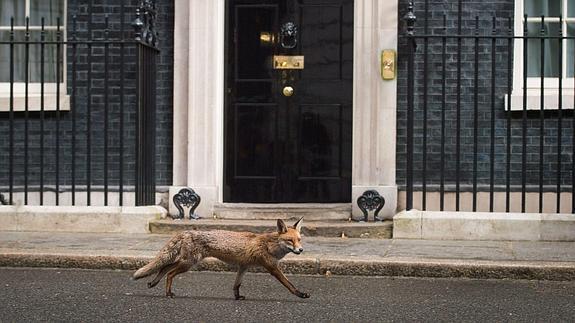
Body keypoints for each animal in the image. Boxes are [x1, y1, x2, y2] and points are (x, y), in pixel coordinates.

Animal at [132, 218, 310, 302]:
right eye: (290, 241)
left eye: (299, 240)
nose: (301, 250)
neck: (269, 245)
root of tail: (186, 231)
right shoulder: (272, 268)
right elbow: (289, 284)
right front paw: (301, 294)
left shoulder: (243, 266)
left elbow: (236, 285)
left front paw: (237, 297)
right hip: (188, 263)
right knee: (169, 272)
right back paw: (168, 293)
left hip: (186, 262)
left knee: (164, 267)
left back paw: (153, 283)